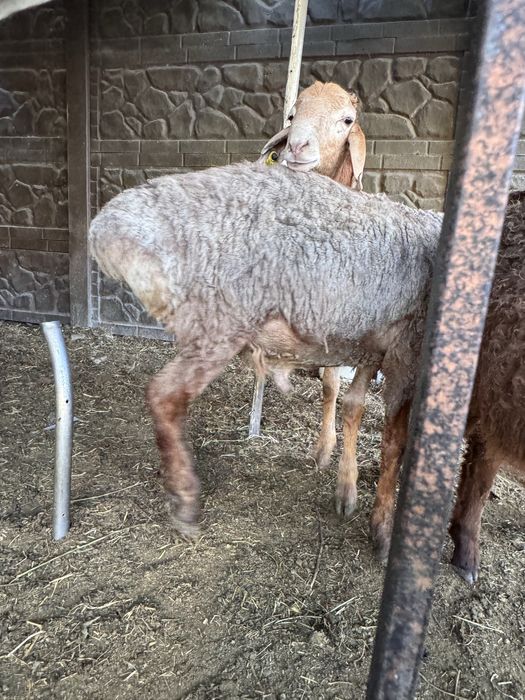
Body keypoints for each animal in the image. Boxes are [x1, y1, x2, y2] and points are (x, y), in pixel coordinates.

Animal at [89, 162, 442, 542]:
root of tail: (108, 227)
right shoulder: (407, 350)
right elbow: (395, 442)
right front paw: (384, 524)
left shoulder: (371, 346)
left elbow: (353, 407)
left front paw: (346, 489)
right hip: (218, 323)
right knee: (164, 395)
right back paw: (185, 499)